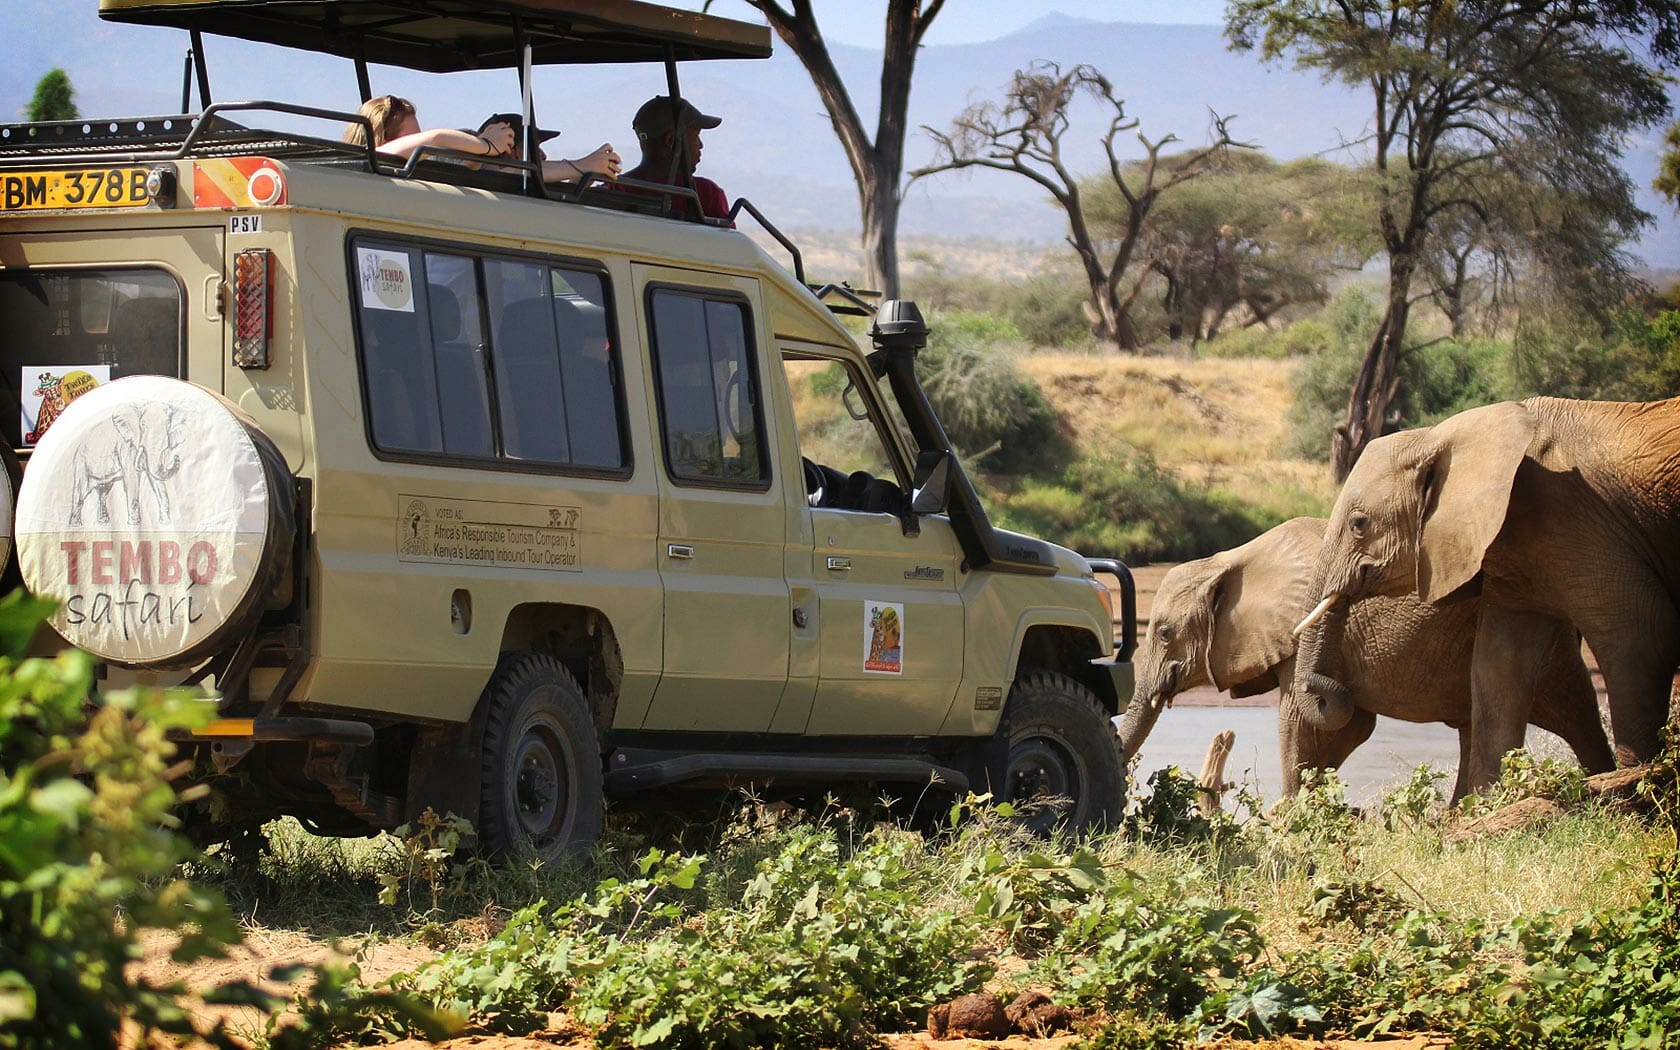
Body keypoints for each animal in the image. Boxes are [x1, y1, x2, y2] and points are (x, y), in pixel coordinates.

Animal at [1122, 510, 1619, 799]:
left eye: (1163, 633)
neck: (1230, 560)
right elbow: (1352, 725)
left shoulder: (1297, 635)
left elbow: (1297, 718)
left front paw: (1288, 819)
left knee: (1569, 708)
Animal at [1290, 393, 1673, 786]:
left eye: (1358, 524)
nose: (1328, 694)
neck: (1438, 437)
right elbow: (1498, 669)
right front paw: (1490, 797)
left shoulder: (1577, 520)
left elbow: (1639, 638)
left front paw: (1642, 783)